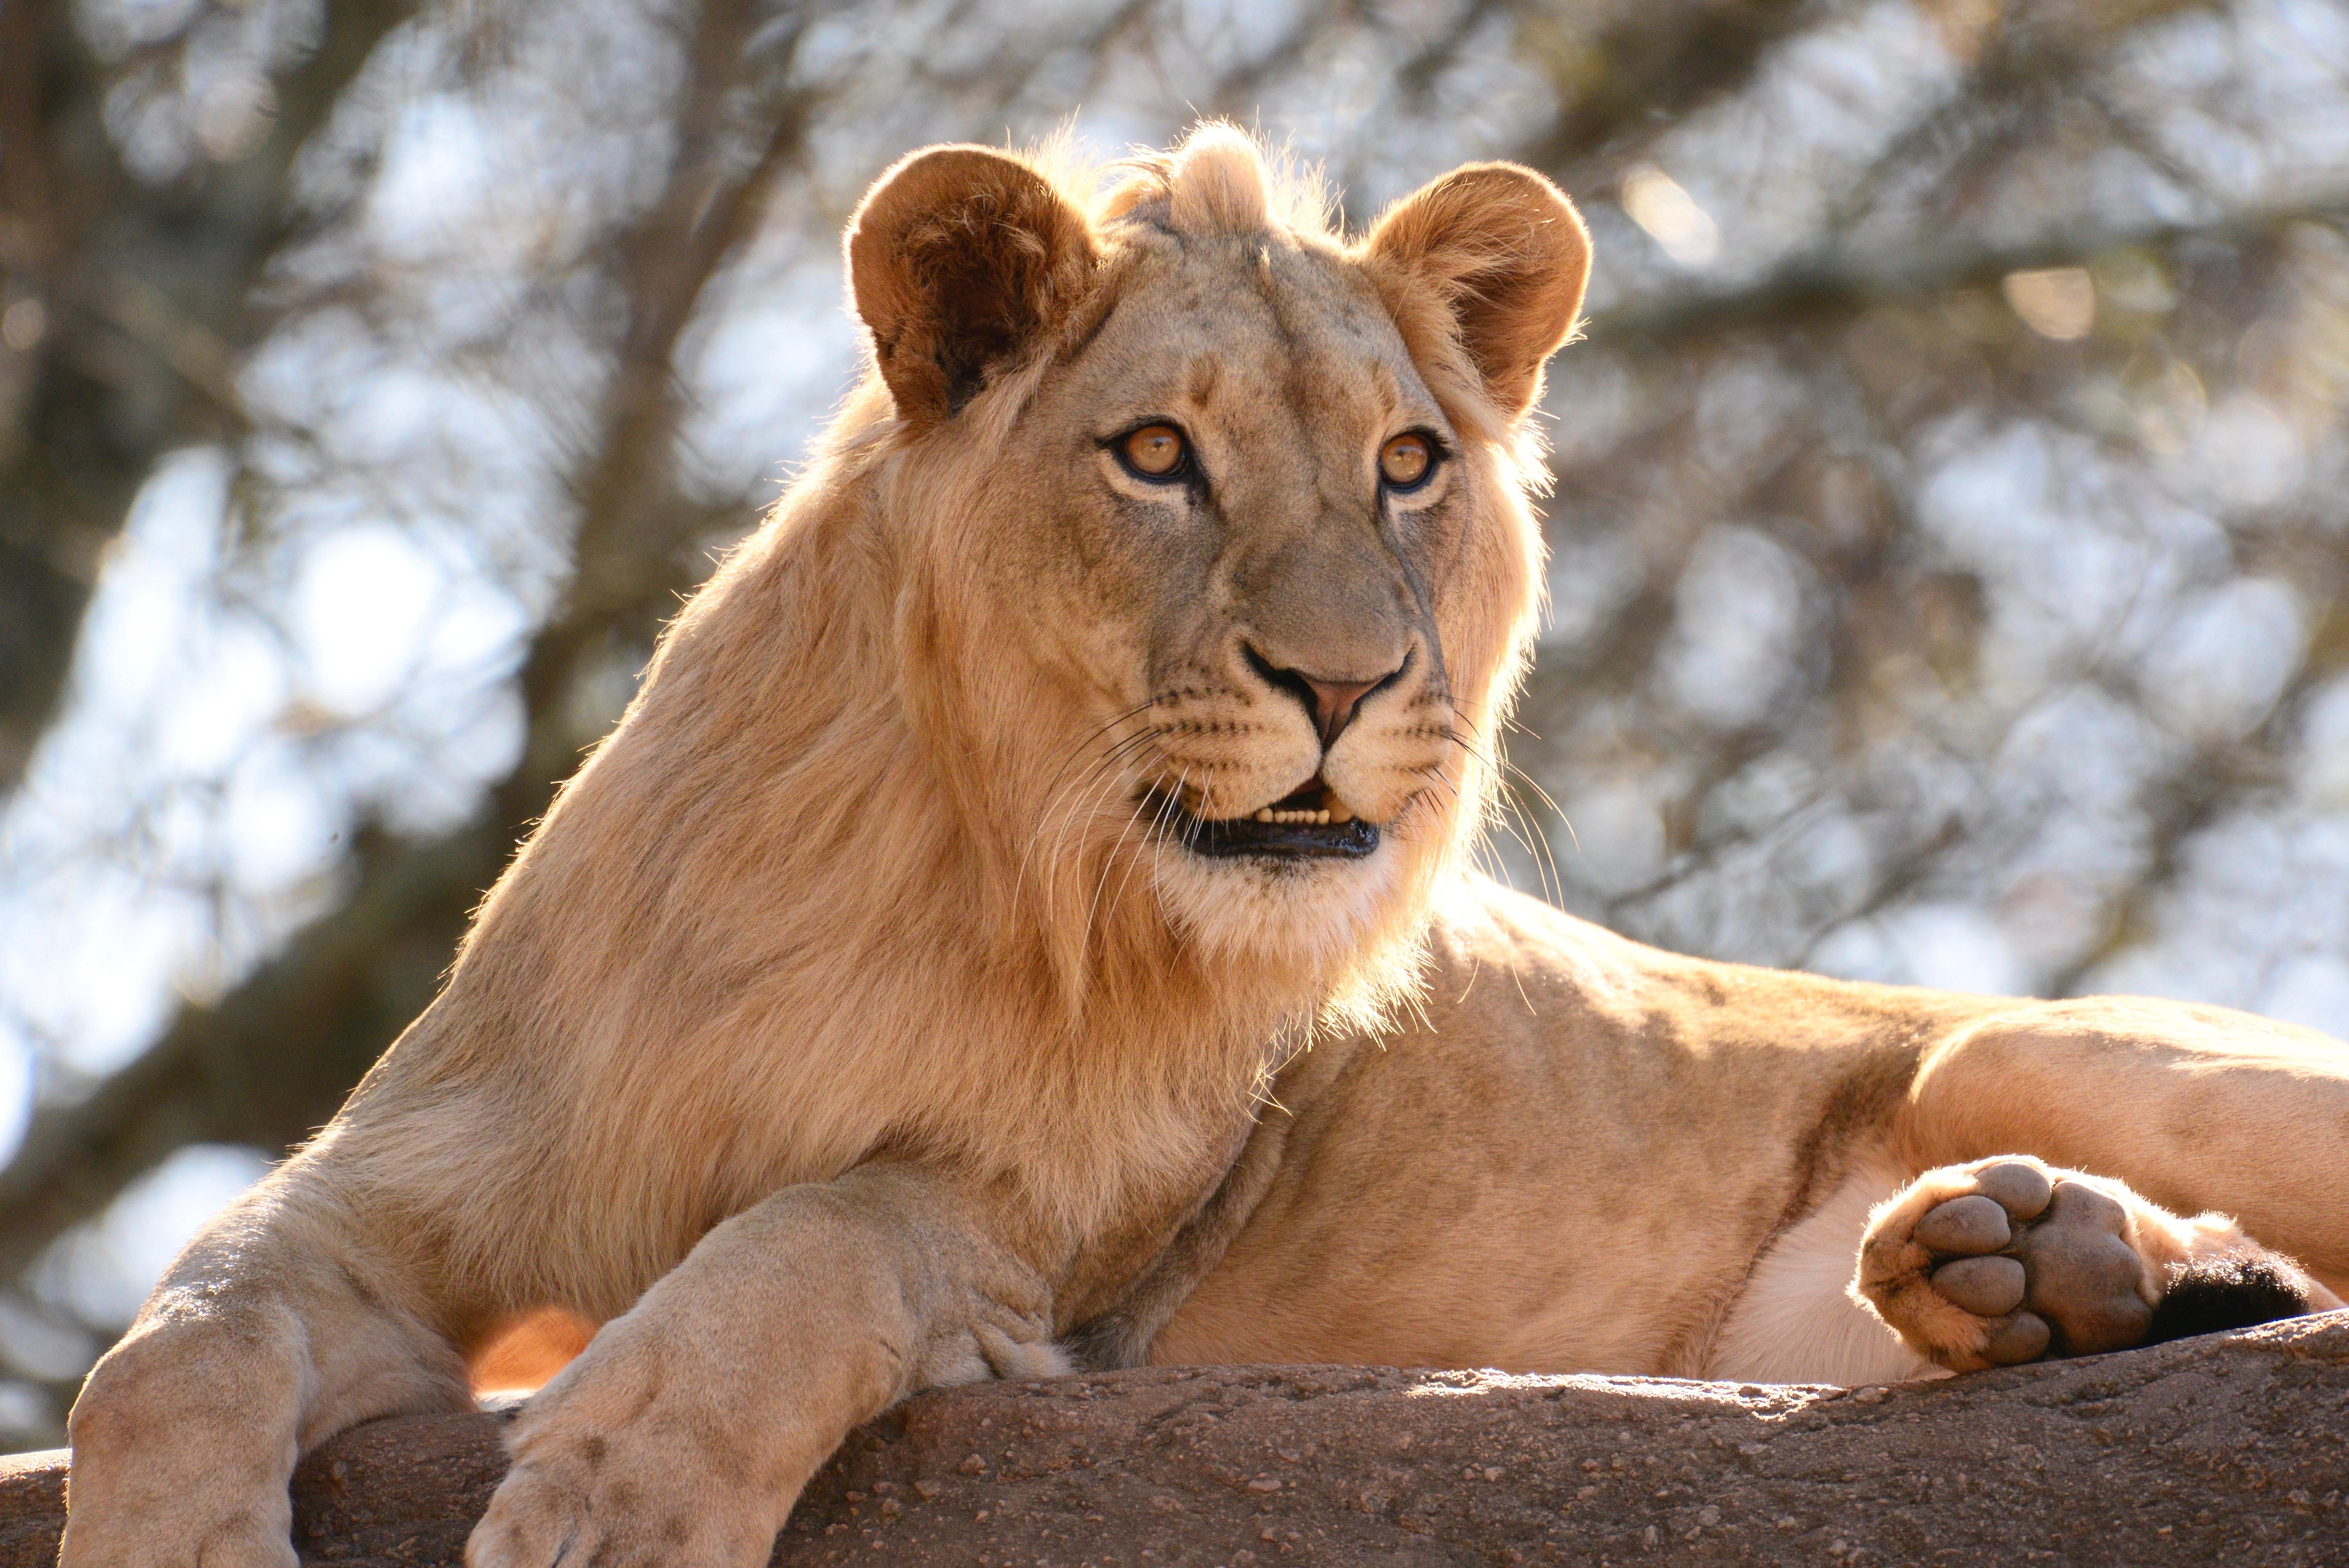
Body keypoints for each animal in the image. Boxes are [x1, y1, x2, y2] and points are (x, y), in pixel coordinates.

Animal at [59, 125, 2349, 1568]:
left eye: (1408, 465)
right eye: (1157, 455)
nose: (1345, 680)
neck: (934, 866)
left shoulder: (1066, 1260)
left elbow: (821, 1228)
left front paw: (619, 1498)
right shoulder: (407, 1183)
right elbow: (166, 1346)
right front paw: (171, 1538)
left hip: (2007, 1040)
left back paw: (2077, 1264)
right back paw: (2044, 1276)